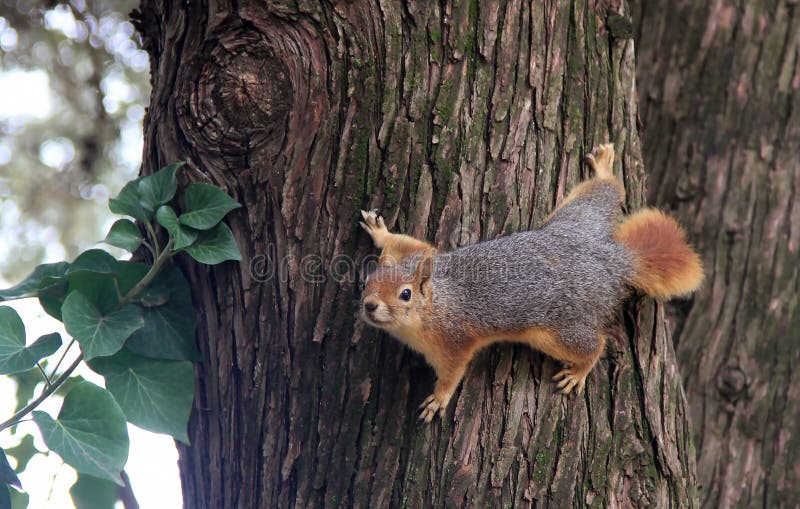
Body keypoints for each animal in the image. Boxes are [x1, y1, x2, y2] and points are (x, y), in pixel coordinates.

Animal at [360, 144, 704, 420]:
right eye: (367, 281)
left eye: (405, 294)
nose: (369, 305)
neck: (434, 305)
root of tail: (614, 260)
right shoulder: (424, 256)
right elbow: (417, 245)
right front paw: (380, 231)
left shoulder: (454, 340)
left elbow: (453, 372)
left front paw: (438, 399)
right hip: (579, 217)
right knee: (605, 191)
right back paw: (605, 167)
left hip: (559, 329)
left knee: (594, 345)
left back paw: (578, 372)